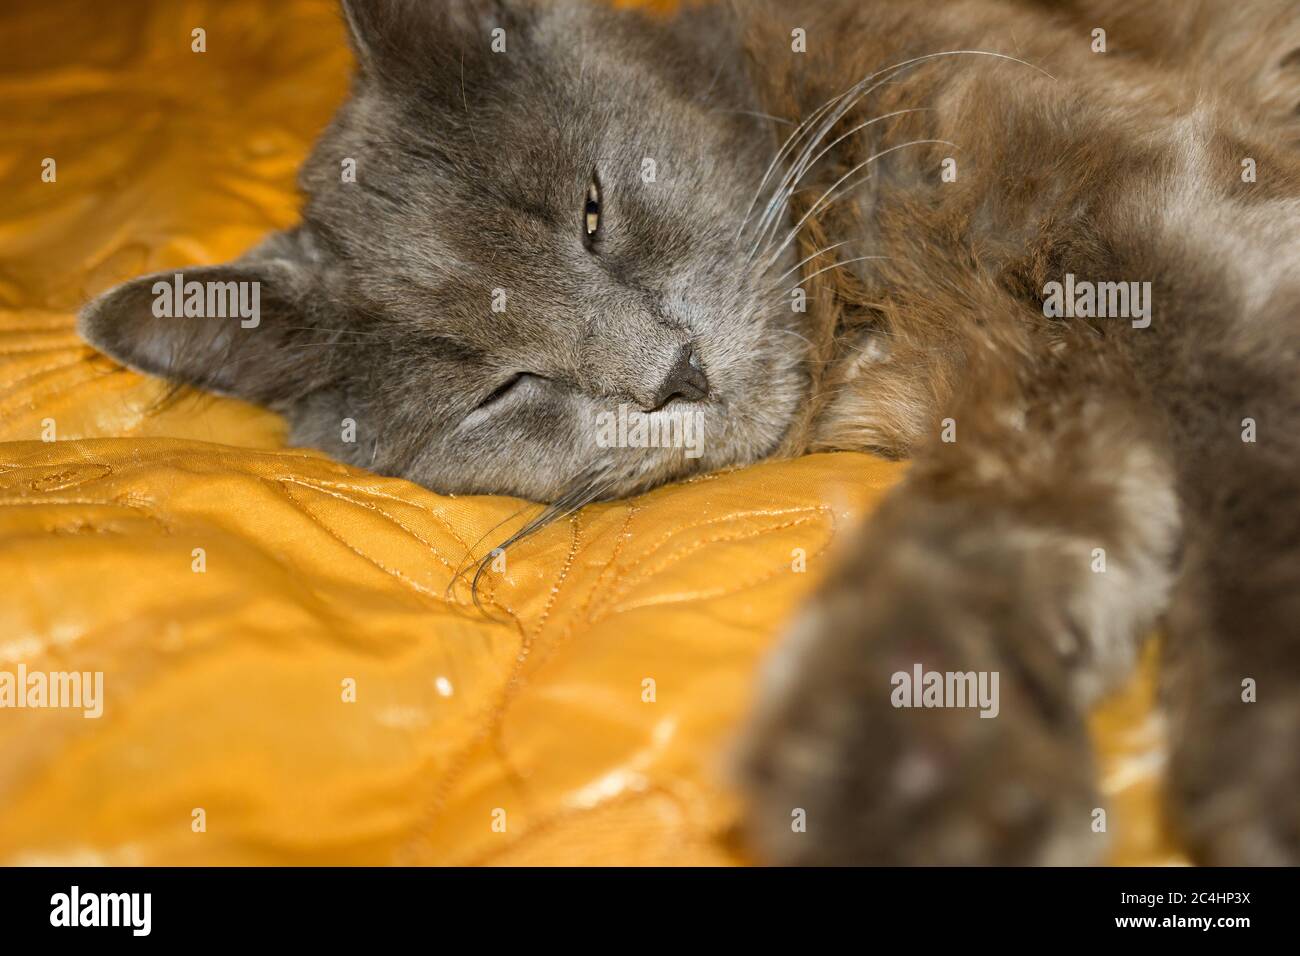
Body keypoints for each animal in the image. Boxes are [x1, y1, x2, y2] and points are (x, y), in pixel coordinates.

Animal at [78, 0, 1300, 868]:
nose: (674, 371)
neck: (860, 295)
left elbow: (1255, 441)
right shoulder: (1027, 401)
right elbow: (980, 550)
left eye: (591, 212)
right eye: (500, 389)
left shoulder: (1170, 216)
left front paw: (1260, 758)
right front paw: (907, 778)